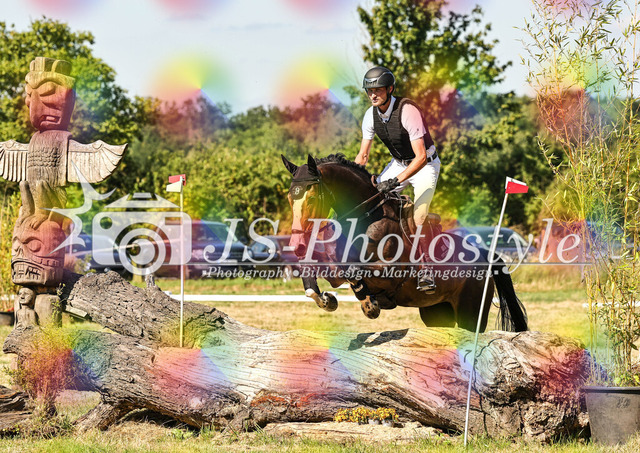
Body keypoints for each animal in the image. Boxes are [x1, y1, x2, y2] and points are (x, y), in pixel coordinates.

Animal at [281, 153, 528, 333]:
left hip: (471, 311)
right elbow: (320, 279)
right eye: (290, 198)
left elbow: (353, 272)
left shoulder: (390, 272)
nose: (297, 244)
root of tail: (485, 255)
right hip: (436, 313)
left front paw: (369, 304)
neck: (366, 217)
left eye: (312, 198)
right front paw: (328, 300)